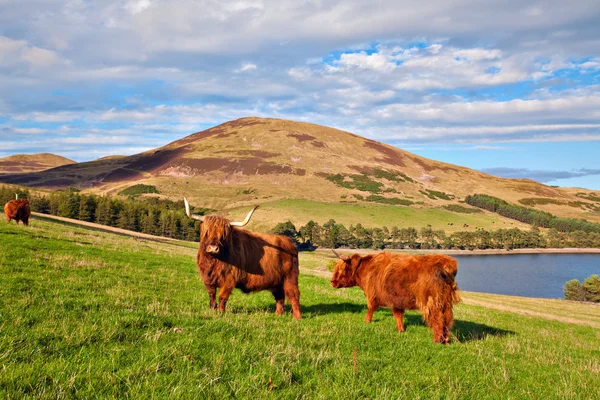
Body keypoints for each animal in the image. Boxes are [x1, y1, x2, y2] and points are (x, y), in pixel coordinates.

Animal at [330, 252, 462, 342]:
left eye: (342, 269)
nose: (332, 282)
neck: (366, 270)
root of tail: (446, 263)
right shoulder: (396, 300)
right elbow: (398, 315)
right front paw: (400, 329)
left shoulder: (373, 294)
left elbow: (371, 308)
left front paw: (367, 321)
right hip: (445, 302)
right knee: (447, 318)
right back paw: (445, 340)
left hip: (432, 302)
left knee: (438, 318)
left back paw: (437, 340)